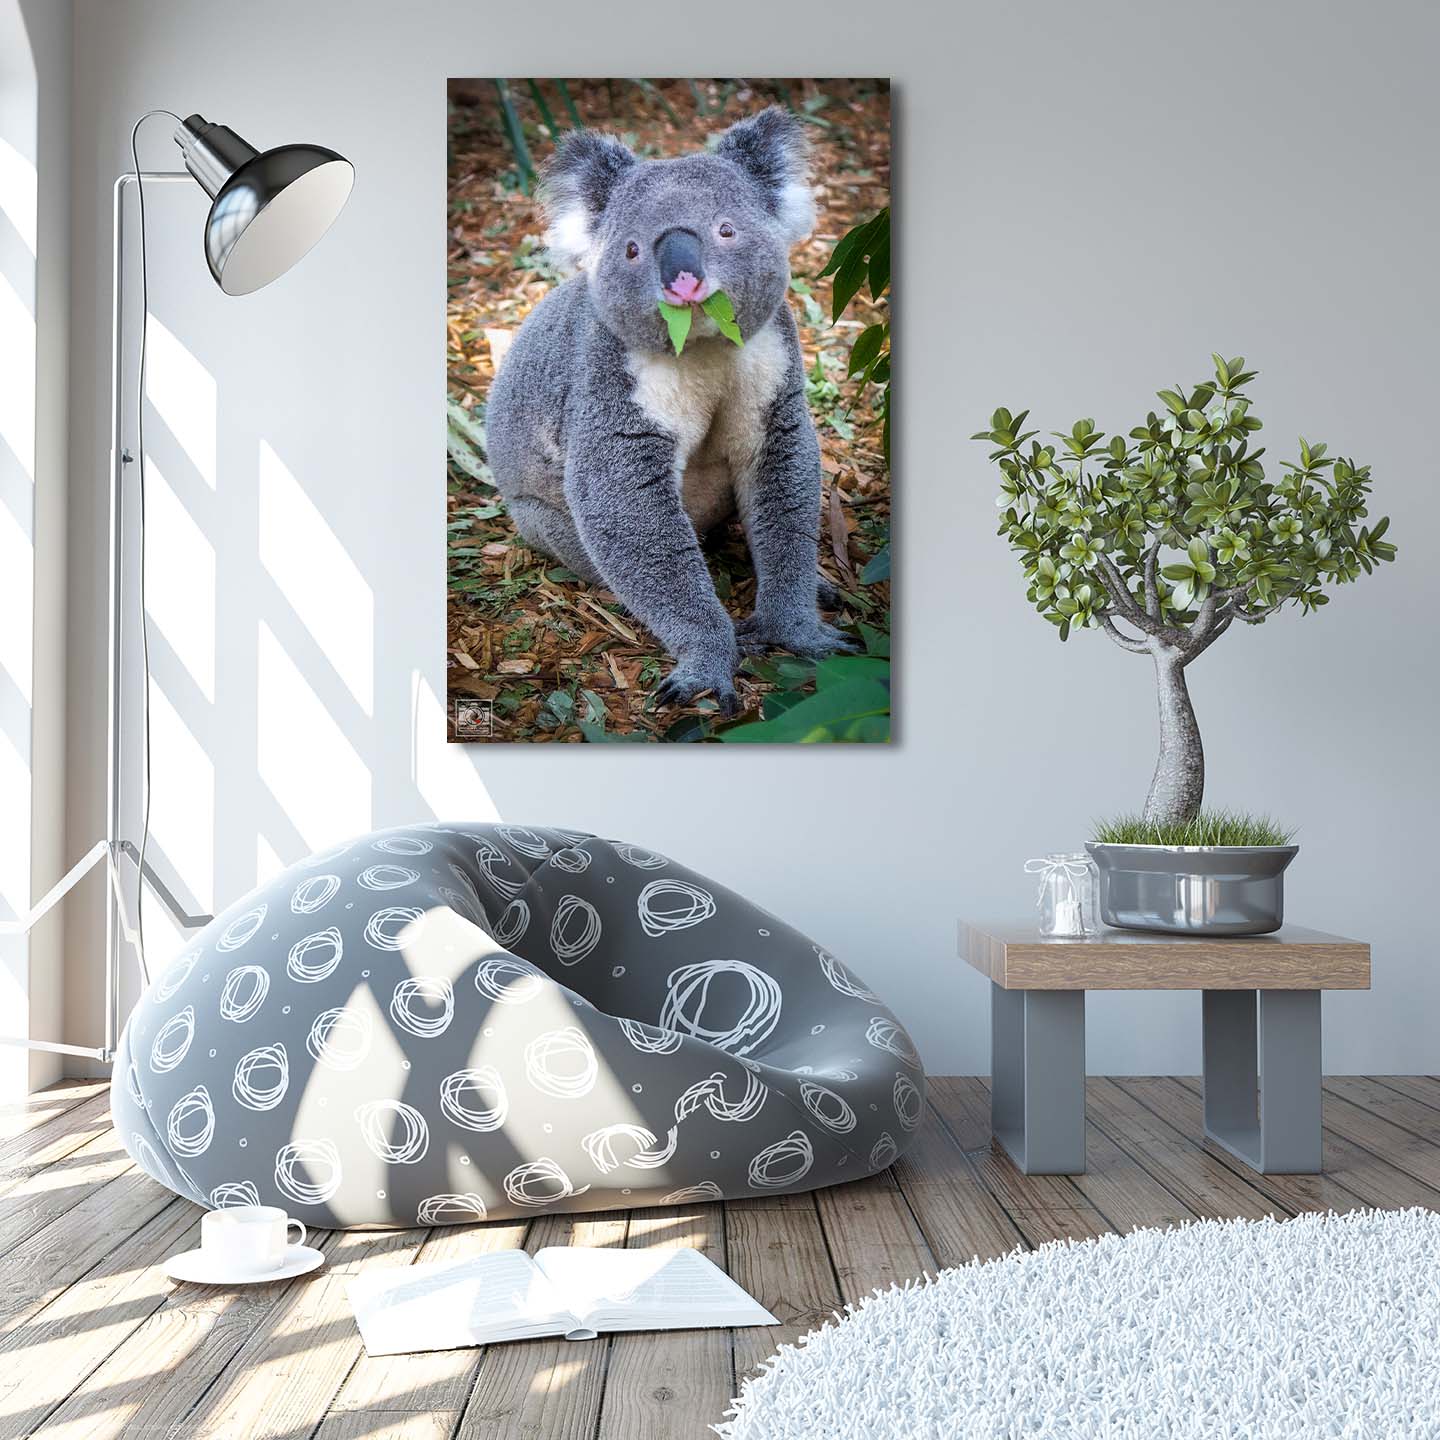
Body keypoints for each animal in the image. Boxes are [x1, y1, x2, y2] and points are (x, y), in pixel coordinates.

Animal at [485, 106, 853, 715]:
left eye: (726, 230)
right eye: (633, 249)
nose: (683, 278)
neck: (701, 344)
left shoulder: (772, 359)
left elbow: (782, 476)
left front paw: (798, 629)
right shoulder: (609, 376)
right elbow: (628, 505)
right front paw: (706, 664)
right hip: (541, 521)